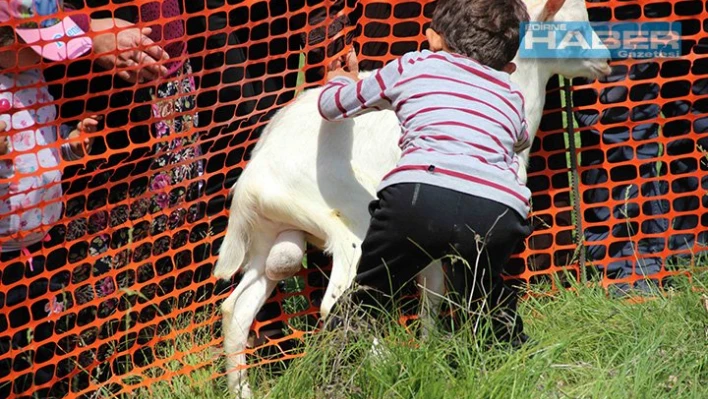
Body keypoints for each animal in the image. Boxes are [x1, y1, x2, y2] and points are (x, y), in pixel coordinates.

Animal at [213, 0, 612, 396]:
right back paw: (386, 366)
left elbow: (431, 292)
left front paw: (429, 346)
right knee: (340, 301)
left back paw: (242, 389)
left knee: (237, 310)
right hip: (352, 226)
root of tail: (251, 182)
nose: (606, 60)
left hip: (270, 238)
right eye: (573, 29)